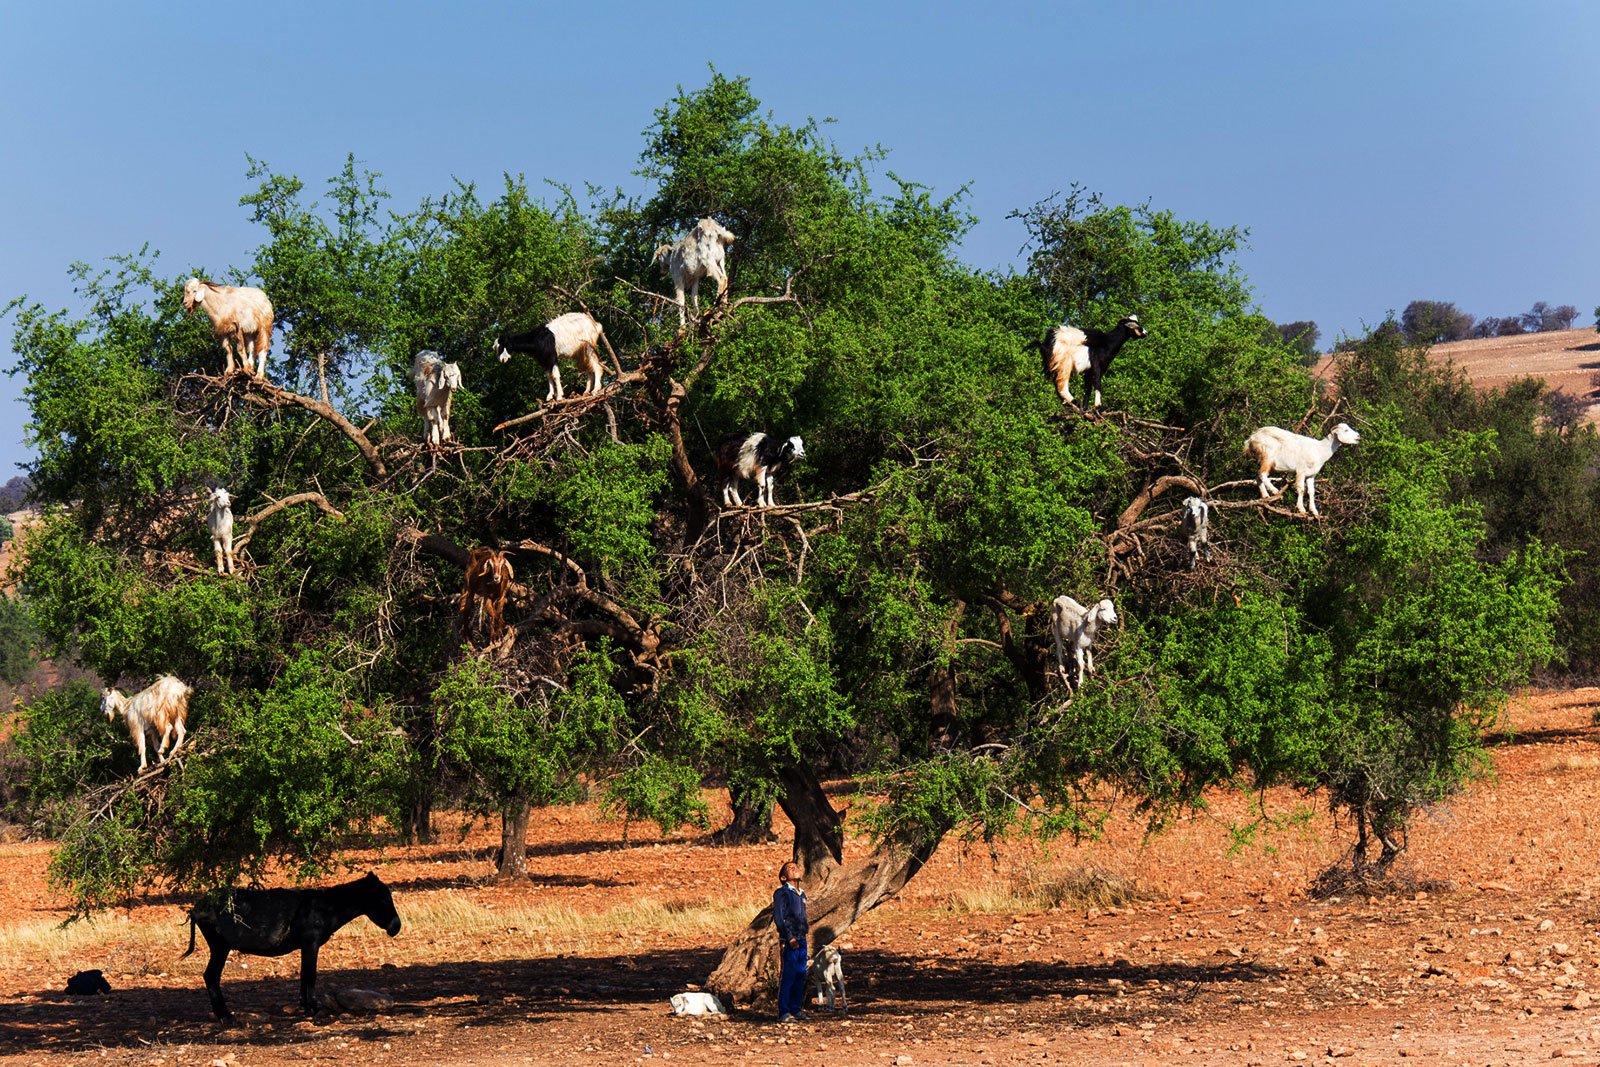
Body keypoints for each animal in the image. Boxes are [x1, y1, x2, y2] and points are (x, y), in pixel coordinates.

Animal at [180, 876, 400, 1023]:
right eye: (384, 900)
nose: (396, 927)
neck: (325, 908)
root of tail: (198, 906)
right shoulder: (311, 944)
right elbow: (310, 975)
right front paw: (314, 1008)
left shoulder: (306, 946)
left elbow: (304, 975)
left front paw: (305, 1006)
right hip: (220, 947)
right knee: (211, 976)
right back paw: (224, 1016)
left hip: (219, 947)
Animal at [1235, 422, 1363, 518]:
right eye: (1346, 430)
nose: (1358, 437)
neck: (1320, 450)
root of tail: (1251, 439)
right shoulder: (1301, 471)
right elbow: (1301, 489)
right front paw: (1301, 509)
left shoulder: (1311, 475)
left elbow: (1311, 492)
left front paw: (1314, 511)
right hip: (1268, 455)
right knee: (1262, 474)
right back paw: (1275, 491)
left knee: (1258, 475)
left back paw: (1265, 495)